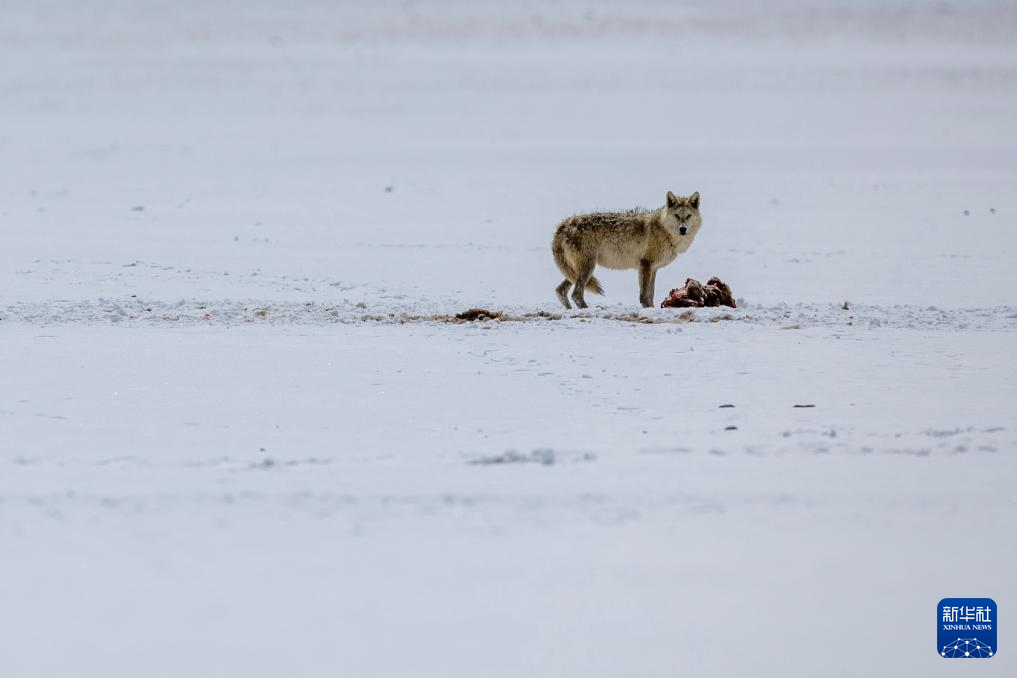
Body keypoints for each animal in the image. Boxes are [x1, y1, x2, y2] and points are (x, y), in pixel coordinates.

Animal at [551, 191, 702, 309]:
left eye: (688, 216)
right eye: (677, 216)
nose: (683, 229)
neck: (664, 231)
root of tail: (564, 224)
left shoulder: (653, 268)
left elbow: (651, 294)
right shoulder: (645, 265)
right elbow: (645, 295)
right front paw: (648, 309)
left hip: (577, 271)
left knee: (560, 290)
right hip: (588, 268)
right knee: (576, 294)